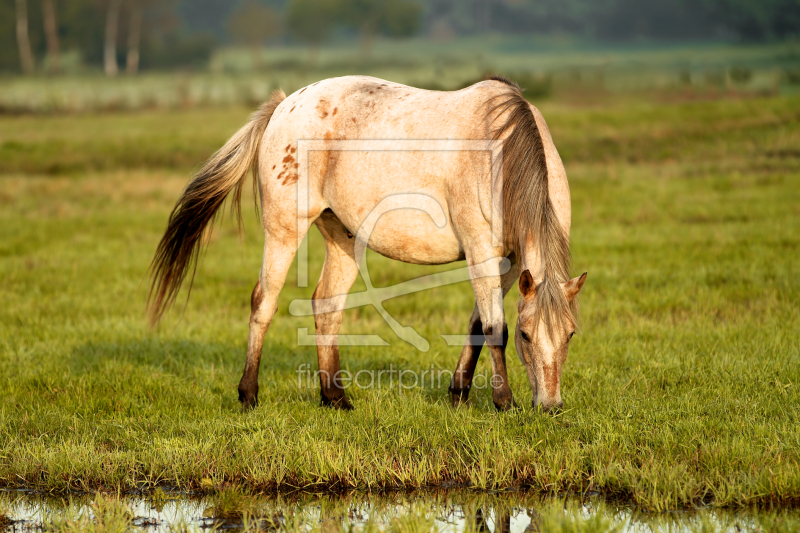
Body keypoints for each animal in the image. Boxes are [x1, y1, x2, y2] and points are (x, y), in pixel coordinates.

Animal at [150, 76, 588, 412]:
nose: (550, 406)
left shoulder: (511, 261)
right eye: (526, 335)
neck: (503, 155)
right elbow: (495, 327)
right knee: (264, 302)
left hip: (343, 237)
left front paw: (459, 393)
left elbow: (479, 323)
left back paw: (335, 398)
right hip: (283, 230)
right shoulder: (481, 252)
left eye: (570, 335)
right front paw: (503, 402)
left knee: (327, 305)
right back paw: (249, 395)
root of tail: (284, 105)